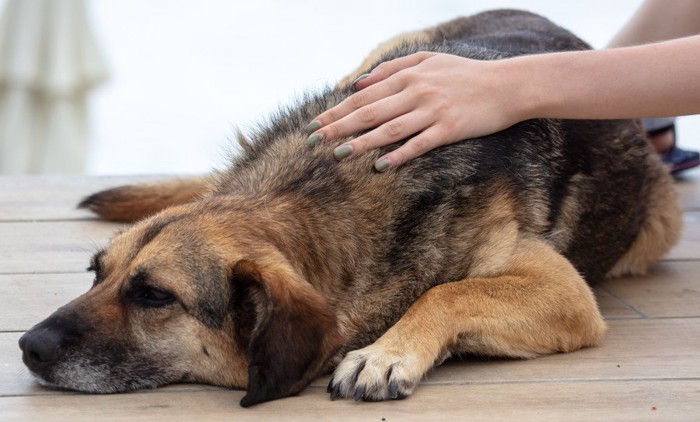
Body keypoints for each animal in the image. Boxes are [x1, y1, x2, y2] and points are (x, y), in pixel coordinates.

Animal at [19, 9, 680, 406]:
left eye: (155, 296)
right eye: (95, 275)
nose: (27, 345)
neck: (308, 191)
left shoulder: (565, 294)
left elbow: (449, 291)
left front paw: (385, 353)